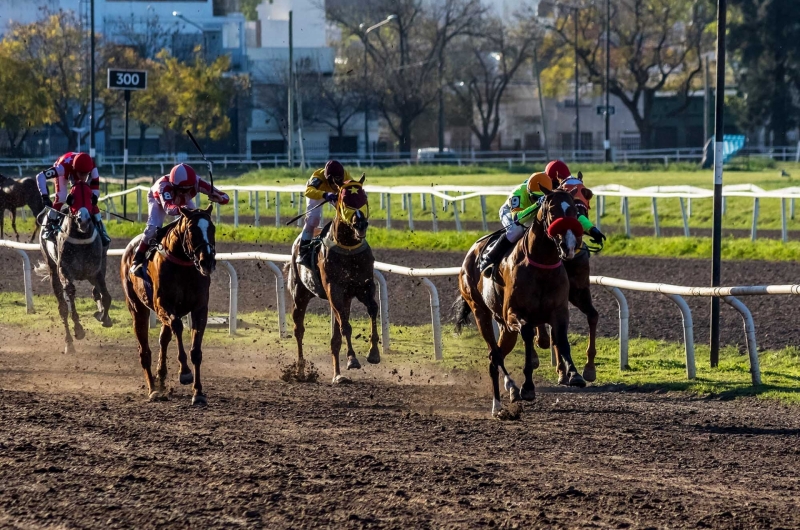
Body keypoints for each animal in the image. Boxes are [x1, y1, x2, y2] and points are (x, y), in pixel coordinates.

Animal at [34, 179, 111, 352]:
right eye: (72, 198)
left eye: (92, 198)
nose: (84, 220)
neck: (81, 239)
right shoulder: (64, 271)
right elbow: (70, 293)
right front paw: (79, 329)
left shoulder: (96, 271)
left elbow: (106, 296)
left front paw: (104, 318)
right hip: (52, 269)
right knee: (62, 307)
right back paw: (69, 343)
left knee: (96, 292)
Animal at [120, 204, 217, 402]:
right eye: (192, 230)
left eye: (212, 228)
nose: (207, 261)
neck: (184, 265)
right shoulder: (162, 305)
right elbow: (177, 326)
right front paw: (185, 372)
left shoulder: (200, 308)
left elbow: (196, 350)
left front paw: (198, 392)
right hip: (137, 308)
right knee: (144, 350)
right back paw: (153, 389)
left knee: (163, 338)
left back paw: (161, 377)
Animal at [288, 175, 382, 382]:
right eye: (344, 200)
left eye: (363, 197)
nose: (361, 224)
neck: (348, 249)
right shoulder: (335, 290)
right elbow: (346, 326)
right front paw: (353, 359)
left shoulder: (364, 286)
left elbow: (372, 309)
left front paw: (373, 353)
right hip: (301, 293)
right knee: (299, 329)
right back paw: (301, 371)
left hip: (344, 298)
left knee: (335, 338)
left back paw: (338, 375)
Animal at [456, 189, 588, 416]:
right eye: (552, 211)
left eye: (573, 210)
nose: (569, 246)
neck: (542, 265)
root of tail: (472, 252)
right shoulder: (513, 314)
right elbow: (527, 333)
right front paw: (527, 386)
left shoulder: (559, 311)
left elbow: (562, 339)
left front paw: (574, 374)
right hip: (481, 312)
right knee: (495, 355)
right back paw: (506, 394)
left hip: (504, 327)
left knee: (495, 357)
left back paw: (503, 398)